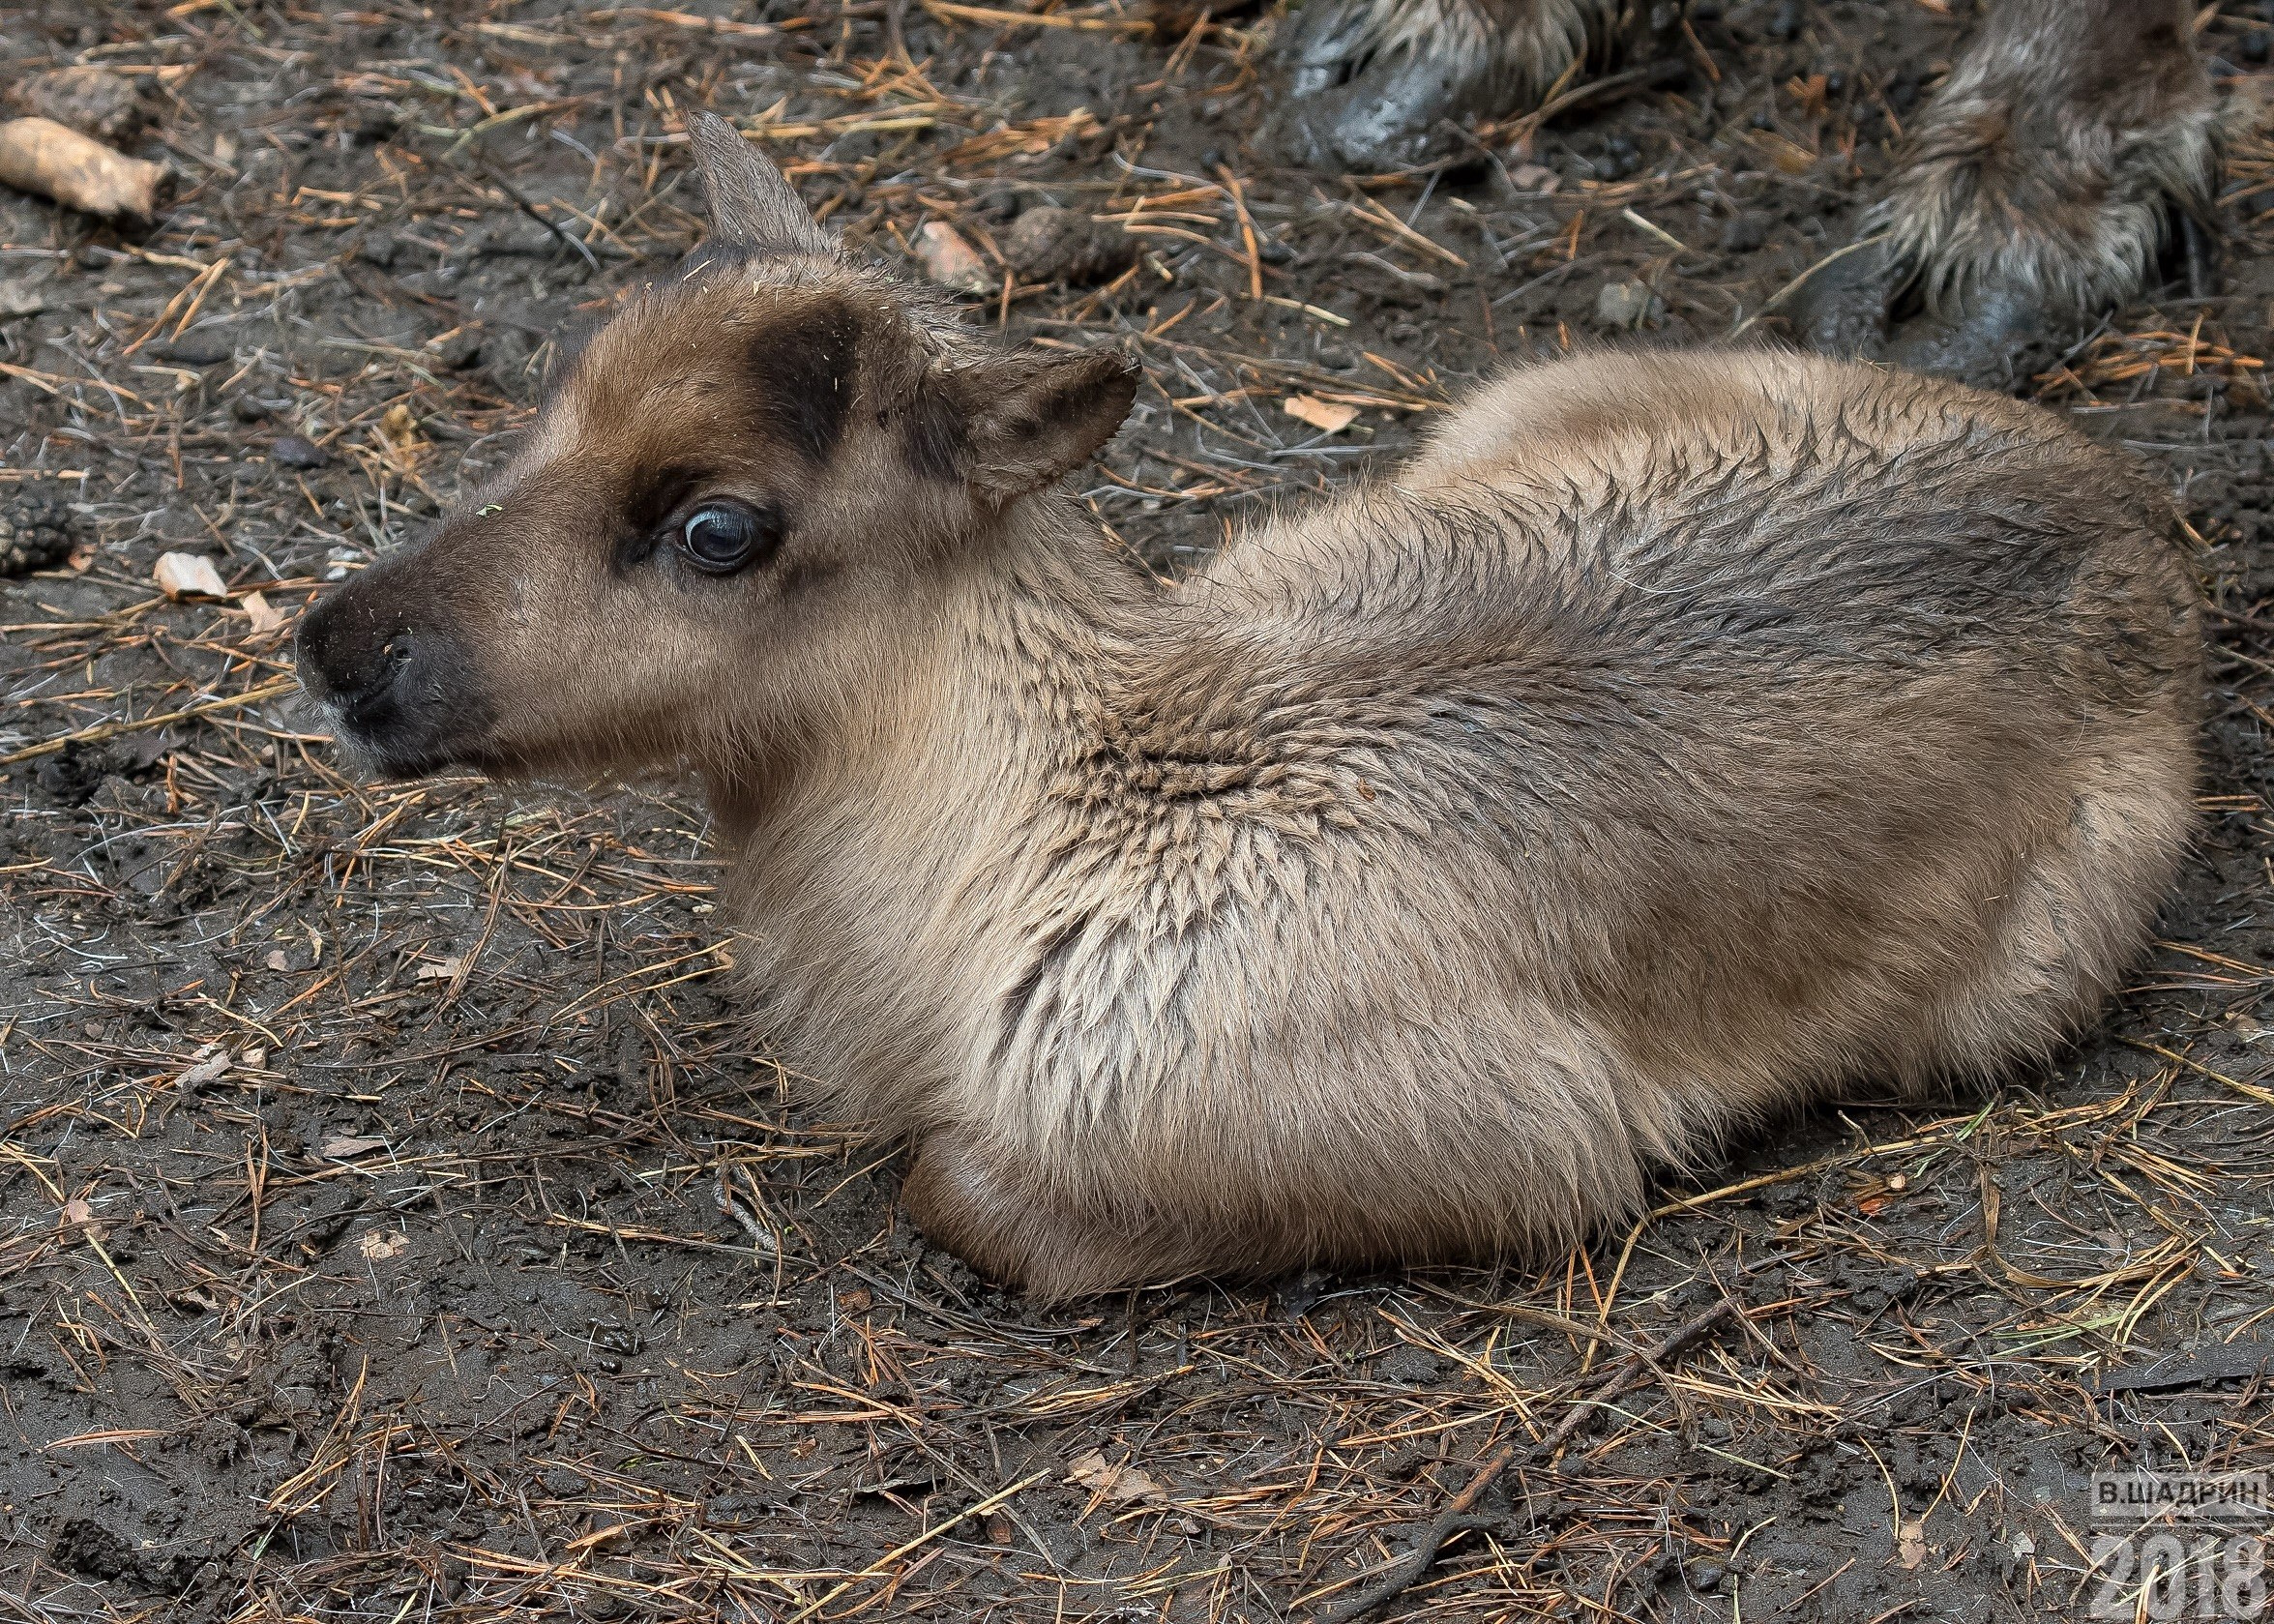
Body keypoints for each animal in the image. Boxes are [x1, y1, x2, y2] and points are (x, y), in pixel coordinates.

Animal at [297, 117, 2200, 1291]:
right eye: (556, 383)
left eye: (716, 526)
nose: (342, 644)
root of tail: (2129, 513)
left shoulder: (1533, 1142)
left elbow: (954, 1183)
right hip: (1498, 408)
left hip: (2023, 979)